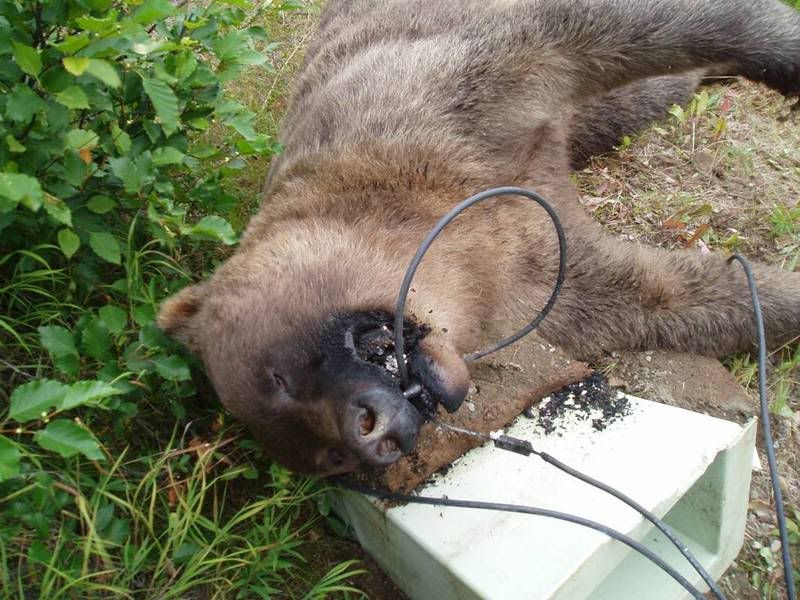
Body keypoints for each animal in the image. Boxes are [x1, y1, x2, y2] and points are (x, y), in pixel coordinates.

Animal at [156, 2, 800, 476]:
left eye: (279, 378)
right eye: (331, 459)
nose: (374, 435)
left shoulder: (442, 88)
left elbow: (624, 27)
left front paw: (781, 54)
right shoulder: (547, 278)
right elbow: (680, 298)